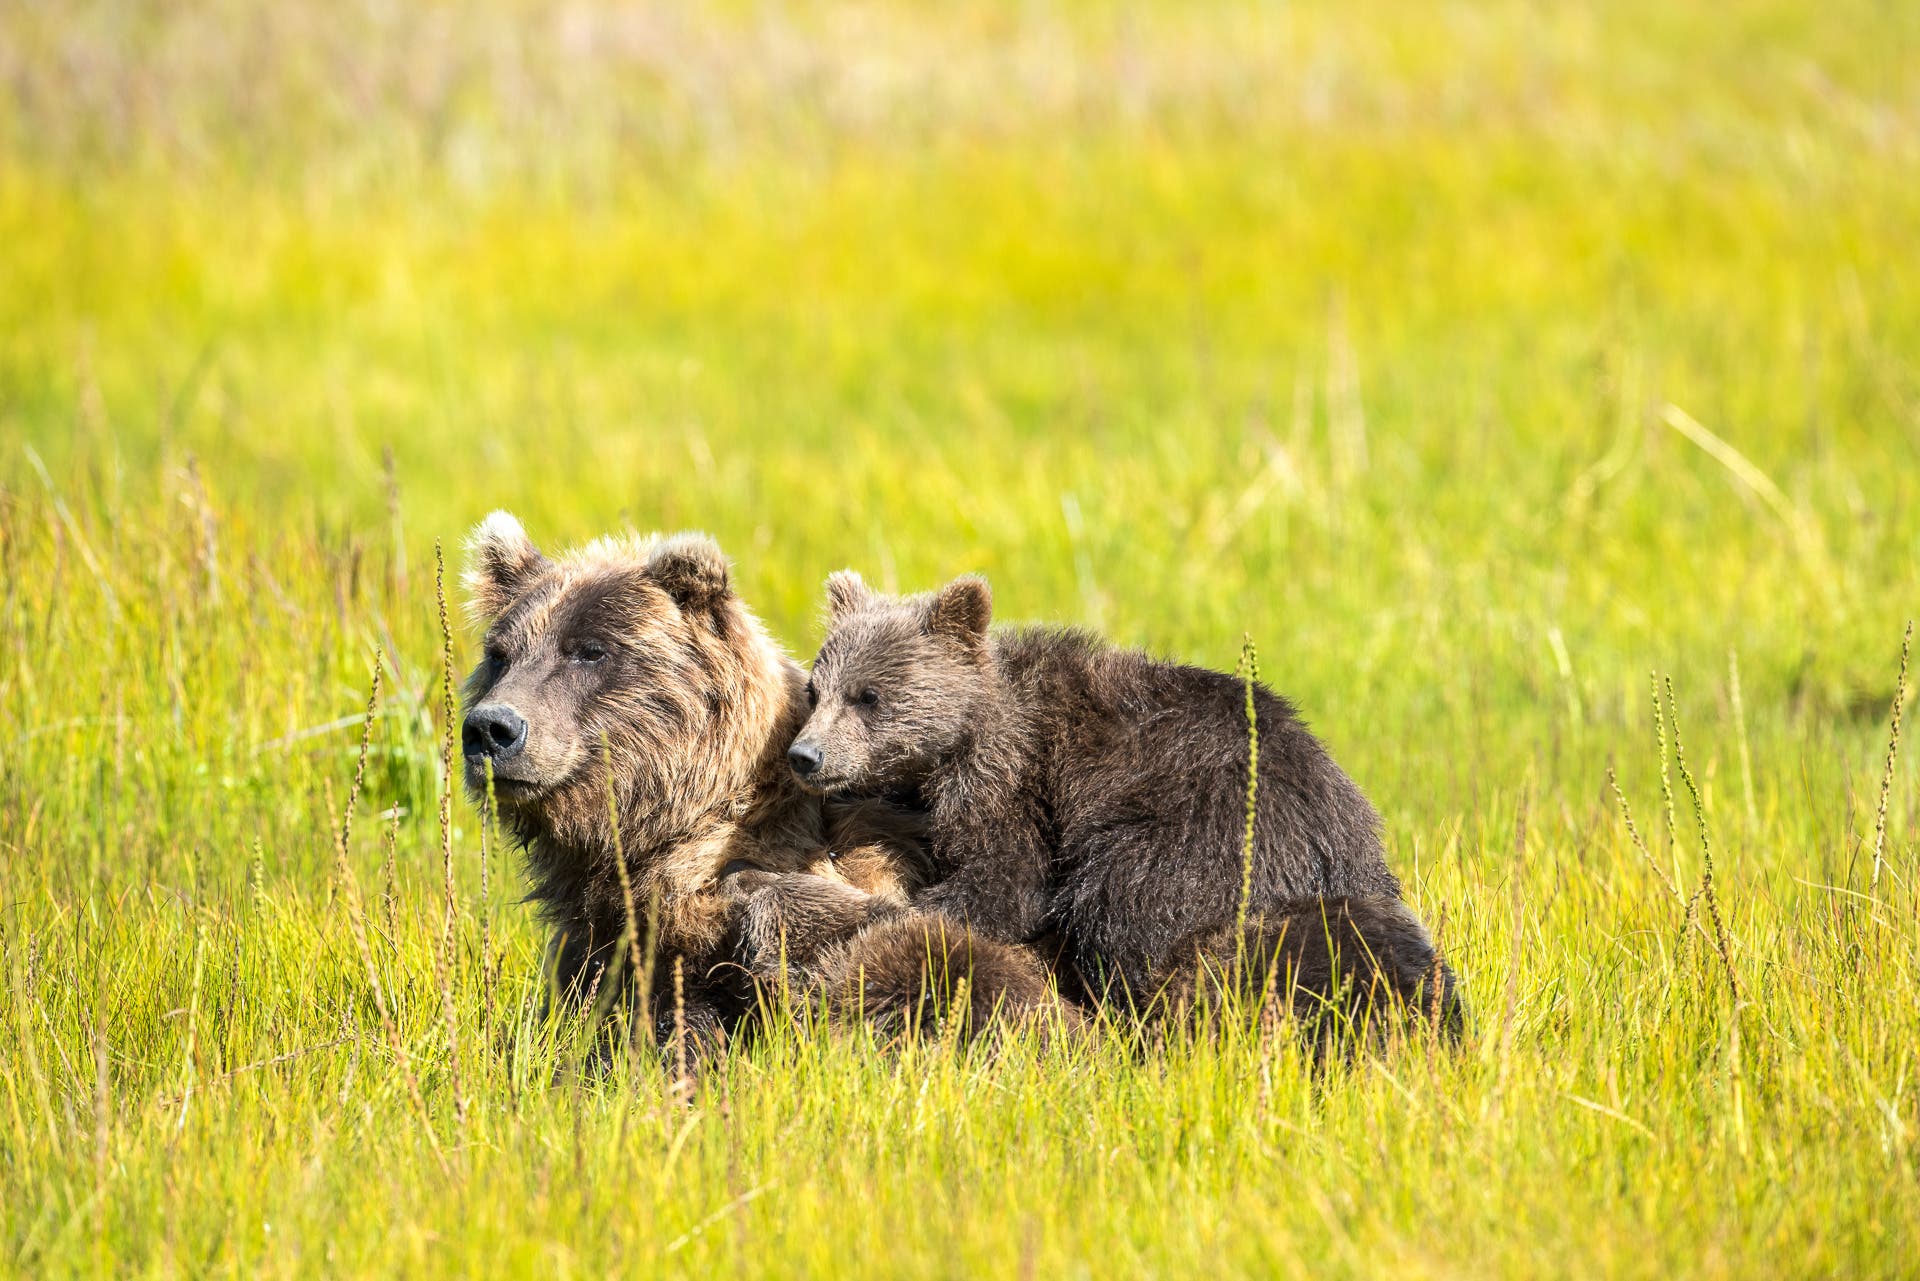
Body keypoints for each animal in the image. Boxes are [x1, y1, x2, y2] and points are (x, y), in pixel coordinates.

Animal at [784, 569, 1461, 1038]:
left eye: (869, 695)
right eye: (817, 688)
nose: (805, 756)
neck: (959, 738)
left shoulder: (1017, 780)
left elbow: (1004, 881)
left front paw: (900, 908)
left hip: (1189, 831)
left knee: (1124, 915)